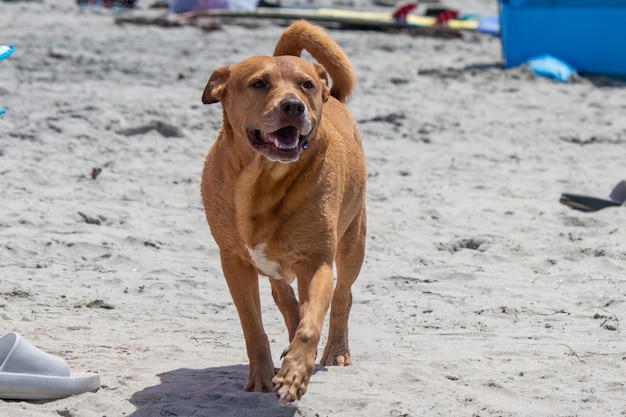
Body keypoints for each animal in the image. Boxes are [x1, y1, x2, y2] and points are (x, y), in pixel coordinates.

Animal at [200, 21, 366, 402]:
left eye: (306, 85)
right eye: (259, 83)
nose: (293, 106)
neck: (265, 179)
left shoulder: (317, 262)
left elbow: (311, 322)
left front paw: (294, 373)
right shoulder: (233, 262)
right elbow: (253, 326)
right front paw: (262, 376)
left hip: (353, 242)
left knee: (342, 295)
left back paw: (335, 349)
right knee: (284, 297)